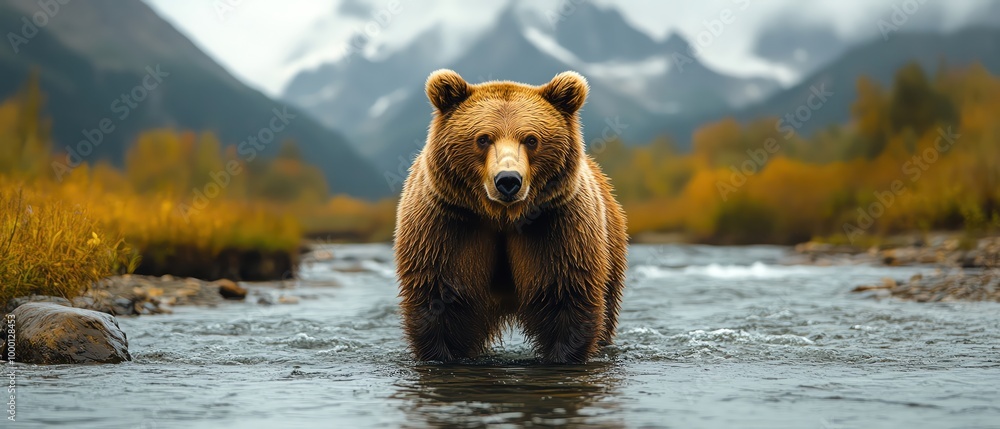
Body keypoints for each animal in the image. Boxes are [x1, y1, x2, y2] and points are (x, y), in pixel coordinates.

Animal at [394, 69, 628, 364]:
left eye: (531, 139)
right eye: (483, 138)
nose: (508, 180)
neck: (501, 217)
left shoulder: (557, 227)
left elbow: (566, 296)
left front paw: (562, 356)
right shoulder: (449, 226)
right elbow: (439, 300)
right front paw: (442, 353)